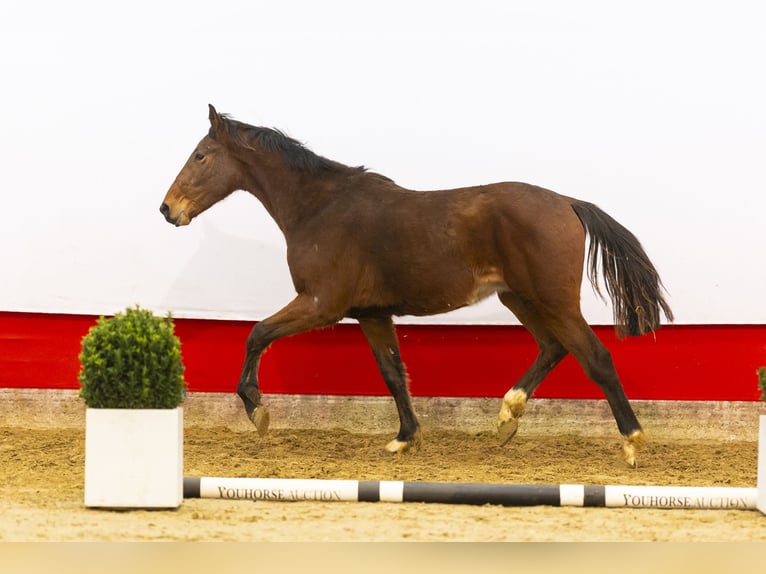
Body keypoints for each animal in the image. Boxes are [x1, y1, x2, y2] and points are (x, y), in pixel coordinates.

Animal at [160, 106, 672, 470]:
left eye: (200, 155)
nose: (168, 209)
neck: (319, 208)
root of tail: (567, 202)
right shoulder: (371, 312)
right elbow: (393, 373)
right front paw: (405, 438)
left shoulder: (321, 304)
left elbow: (257, 333)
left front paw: (257, 410)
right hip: (520, 298)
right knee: (553, 348)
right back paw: (507, 417)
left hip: (552, 299)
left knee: (596, 357)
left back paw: (631, 444)